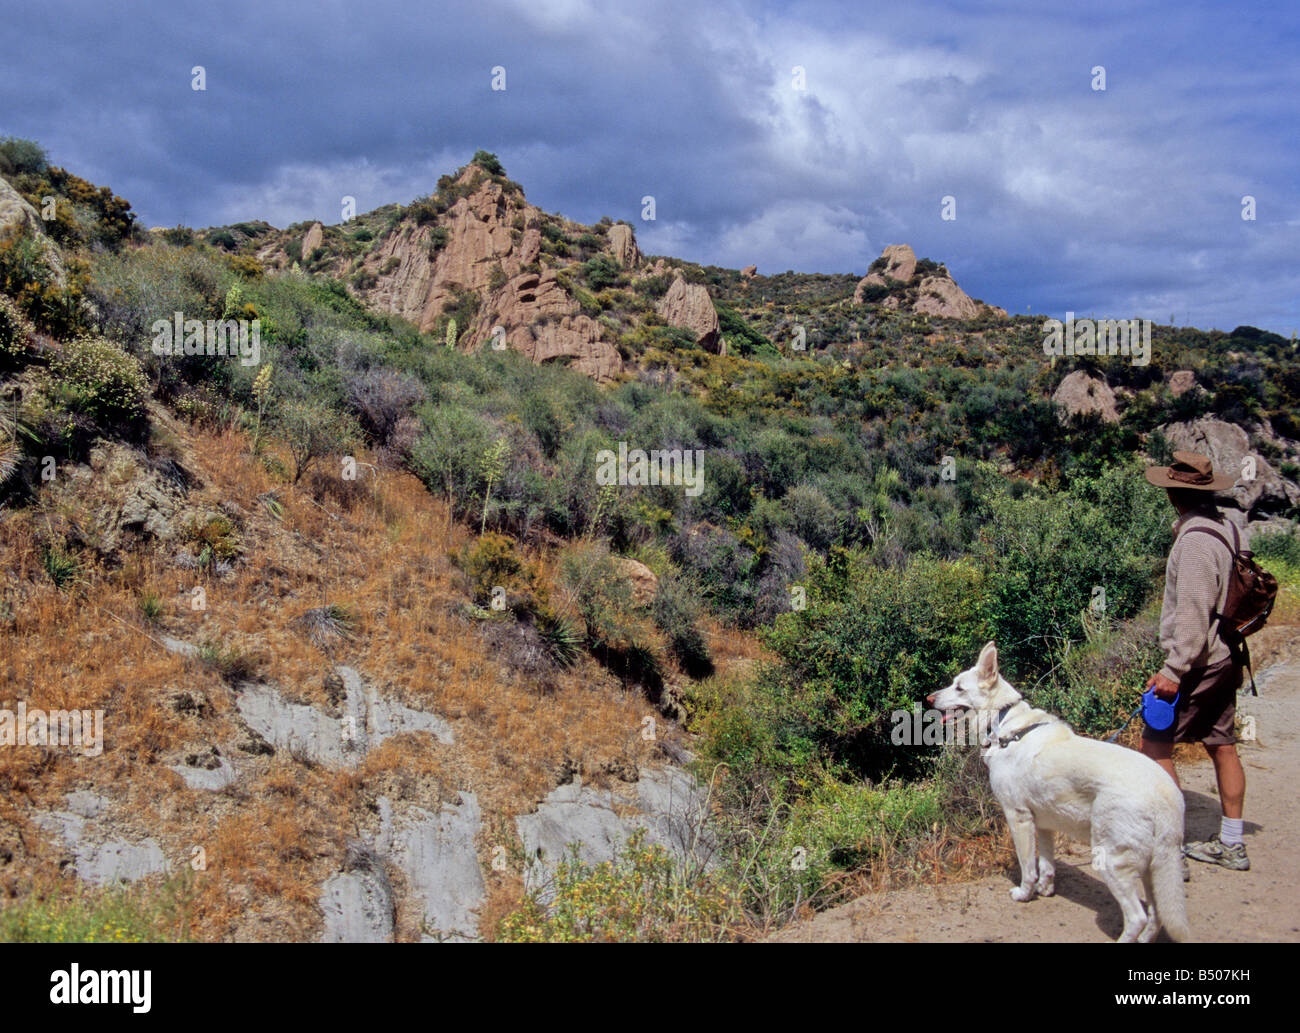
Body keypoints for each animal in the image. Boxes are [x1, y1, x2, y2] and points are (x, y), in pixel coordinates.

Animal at [925, 641, 1190, 940]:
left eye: (959, 687)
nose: (929, 699)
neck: (1004, 723)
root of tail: (1168, 795)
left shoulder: (1018, 818)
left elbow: (1028, 867)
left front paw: (1025, 894)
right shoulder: (1044, 824)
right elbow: (1047, 865)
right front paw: (1046, 889)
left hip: (1111, 861)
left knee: (1137, 918)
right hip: (1152, 870)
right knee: (1156, 916)